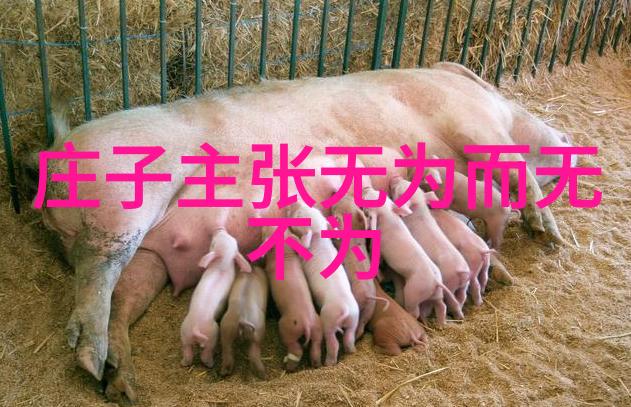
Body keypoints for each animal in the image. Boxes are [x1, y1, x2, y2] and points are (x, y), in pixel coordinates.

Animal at [180, 229, 251, 368]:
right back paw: (211, 364)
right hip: (209, 334)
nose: (219, 229)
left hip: (186, 333)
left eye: (212, 244)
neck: (222, 265)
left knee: (189, 352)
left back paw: (186, 363)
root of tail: (196, 327)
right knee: (204, 354)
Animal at [263, 226, 323, 371]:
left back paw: (288, 367)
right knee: (316, 346)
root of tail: (306, 322)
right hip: (317, 327)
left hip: (287, 328)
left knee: (296, 349)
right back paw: (316, 364)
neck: (285, 256)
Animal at [287, 201, 359, 366]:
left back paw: (328, 362)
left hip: (329, 320)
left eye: (299, 215)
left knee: (334, 343)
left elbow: (301, 245)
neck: (319, 239)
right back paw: (352, 351)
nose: (296, 201)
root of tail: (346, 310)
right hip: (354, 320)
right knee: (349, 338)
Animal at [362, 186, 462, 326]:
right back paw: (441, 325)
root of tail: (436, 282)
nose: (366, 188)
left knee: (415, 311)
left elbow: (375, 255)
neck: (387, 216)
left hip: (413, 293)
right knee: (442, 306)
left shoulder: (379, 246)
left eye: (369, 200)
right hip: (437, 294)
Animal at [389, 177, 471, 309]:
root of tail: (462, 271)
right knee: (462, 297)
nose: (395, 177)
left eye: (400, 192)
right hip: (464, 285)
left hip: (450, 283)